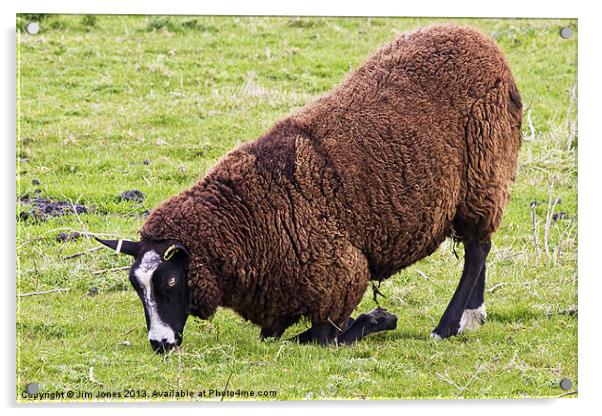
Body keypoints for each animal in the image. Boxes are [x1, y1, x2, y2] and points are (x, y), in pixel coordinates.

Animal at [96, 24, 516, 352]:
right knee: (480, 245)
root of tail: (480, 40)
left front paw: (379, 318)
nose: (159, 343)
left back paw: (447, 326)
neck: (249, 213)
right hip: (481, 184)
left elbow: (318, 337)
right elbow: (277, 335)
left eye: (170, 281)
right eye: (135, 286)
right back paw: (472, 316)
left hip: (482, 173)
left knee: (477, 249)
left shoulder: (340, 277)